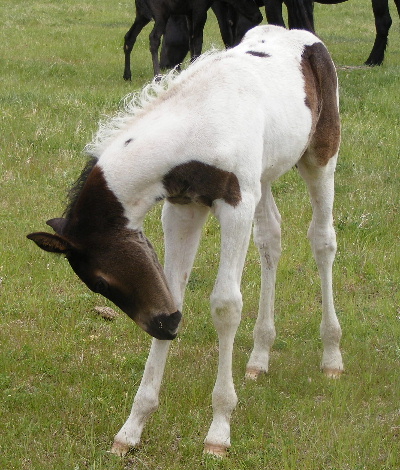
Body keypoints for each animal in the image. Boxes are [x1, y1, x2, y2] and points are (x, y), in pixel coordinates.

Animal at [28, 24, 344, 456]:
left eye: (99, 282)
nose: (166, 327)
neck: (197, 125)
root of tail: (299, 34)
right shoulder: (183, 208)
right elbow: (174, 289)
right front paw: (131, 429)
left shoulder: (235, 204)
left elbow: (226, 306)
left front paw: (219, 431)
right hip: (263, 177)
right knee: (271, 238)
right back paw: (259, 357)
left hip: (320, 156)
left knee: (322, 241)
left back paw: (331, 355)